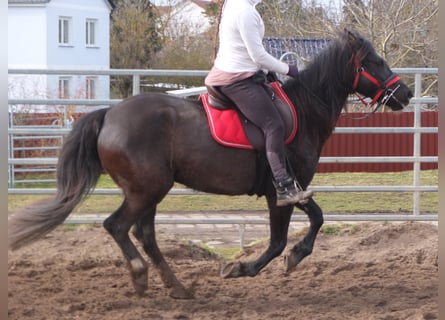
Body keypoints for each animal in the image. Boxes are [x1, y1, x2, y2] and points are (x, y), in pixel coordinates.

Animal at [8, 28, 412, 298]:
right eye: (375, 61)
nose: (404, 92)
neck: (304, 109)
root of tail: (108, 115)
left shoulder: (293, 188)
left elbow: (313, 220)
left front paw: (288, 257)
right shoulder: (282, 189)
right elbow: (283, 238)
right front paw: (245, 267)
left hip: (148, 191)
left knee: (144, 234)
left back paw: (178, 288)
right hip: (146, 190)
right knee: (118, 227)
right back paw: (141, 276)